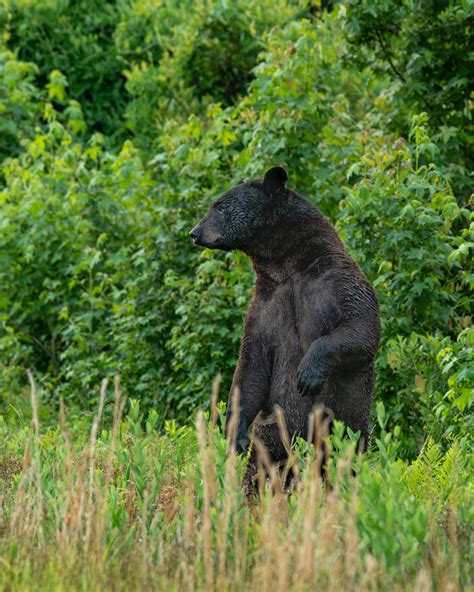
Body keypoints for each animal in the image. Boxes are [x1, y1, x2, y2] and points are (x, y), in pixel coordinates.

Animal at [189, 166, 382, 468]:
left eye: (219, 206)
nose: (195, 232)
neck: (286, 265)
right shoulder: (266, 306)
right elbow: (251, 367)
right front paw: (236, 434)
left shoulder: (336, 283)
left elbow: (361, 329)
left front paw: (308, 374)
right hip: (271, 438)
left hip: (345, 434)